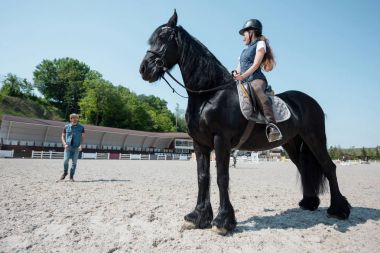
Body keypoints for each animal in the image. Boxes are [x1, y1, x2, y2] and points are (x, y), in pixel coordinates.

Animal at [140, 11, 350, 233]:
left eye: (163, 38)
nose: (144, 69)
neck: (210, 94)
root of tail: (310, 101)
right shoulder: (200, 144)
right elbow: (202, 177)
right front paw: (198, 217)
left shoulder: (221, 140)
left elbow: (222, 177)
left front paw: (223, 221)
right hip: (292, 143)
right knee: (304, 169)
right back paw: (309, 203)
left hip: (315, 138)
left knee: (329, 167)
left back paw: (339, 210)